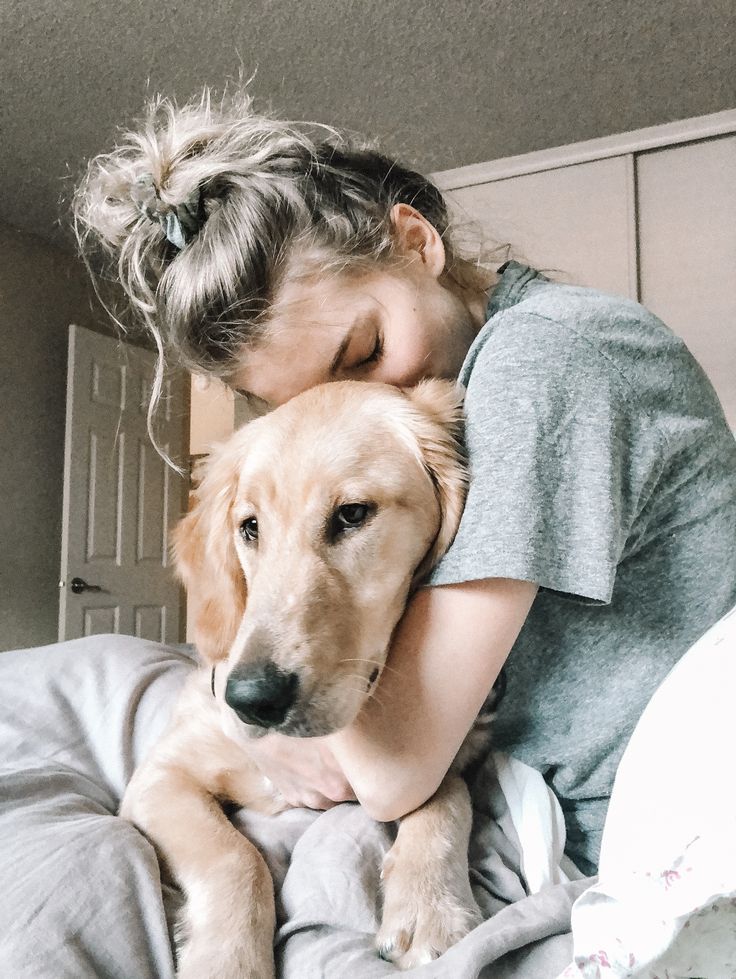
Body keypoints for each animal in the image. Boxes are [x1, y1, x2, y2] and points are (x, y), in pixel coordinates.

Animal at [121, 378, 488, 976]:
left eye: (353, 514)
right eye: (249, 528)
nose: (251, 700)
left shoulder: (433, 763)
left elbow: (449, 798)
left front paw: (431, 904)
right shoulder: (160, 777)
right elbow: (235, 856)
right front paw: (228, 959)